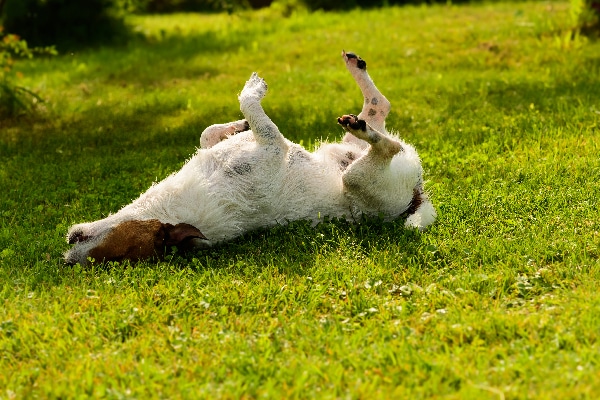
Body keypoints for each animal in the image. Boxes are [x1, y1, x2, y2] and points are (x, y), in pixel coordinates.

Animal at [65, 50, 436, 266]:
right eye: (115, 255)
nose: (68, 260)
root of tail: (418, 191)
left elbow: (208, 134)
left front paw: (236, 125)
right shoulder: (274, 146)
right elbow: (252, 111)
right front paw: (251, 97)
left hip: (352, 147)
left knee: (379, 106)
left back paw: (355, 69)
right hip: (358, 178)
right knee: (384, 143)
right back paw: (363, 129)